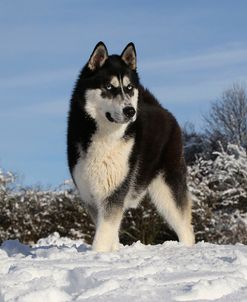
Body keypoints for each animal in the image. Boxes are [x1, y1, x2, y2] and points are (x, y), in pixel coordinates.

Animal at [67, 40, 195, 252]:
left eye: (129, 88)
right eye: (108, 86)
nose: (130, 110)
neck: (106, 136)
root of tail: (162, 109)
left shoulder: (114, 192)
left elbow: (101, 238)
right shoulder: (90, 195)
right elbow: (109, 233)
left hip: (168, 187)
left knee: (186, 228)